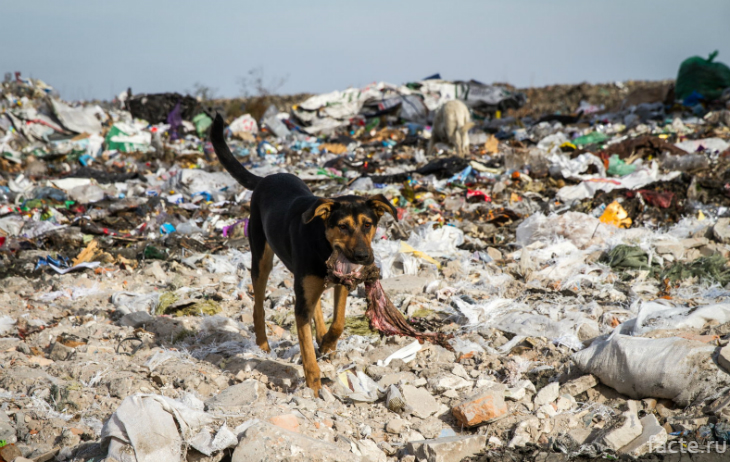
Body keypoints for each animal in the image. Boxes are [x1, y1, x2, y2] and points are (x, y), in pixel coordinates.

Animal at [208, 114, 396, 394]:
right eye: (343, 226)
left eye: (367, 224)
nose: (364, 257)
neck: (324, 244)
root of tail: (265, 179)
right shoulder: (303, 301)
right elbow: (306, 348)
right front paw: (314, 387)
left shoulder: (341, 283)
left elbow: (338, 322)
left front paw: (327, 342)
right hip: (261, 259)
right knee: (259, 306)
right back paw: (263, 343)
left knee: (314, 303)